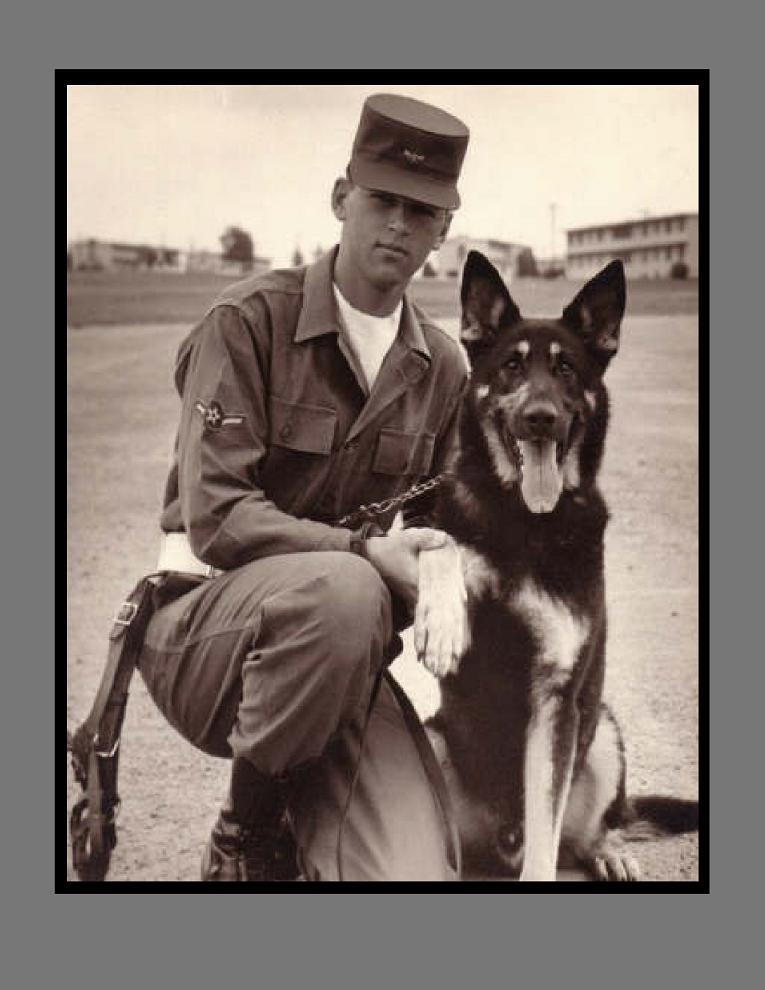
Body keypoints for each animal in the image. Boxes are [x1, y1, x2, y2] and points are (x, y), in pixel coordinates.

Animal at [414, 250, 696, 884]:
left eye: (567, 369)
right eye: (512, 367)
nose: (541, 417)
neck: (525, 520)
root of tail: (498, 846)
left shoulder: (556, 700)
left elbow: (545, 830)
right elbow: (442, 544)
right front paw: (442, 625)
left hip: (602, 735)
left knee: (581, 834)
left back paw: (609, 850)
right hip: (436, 742)